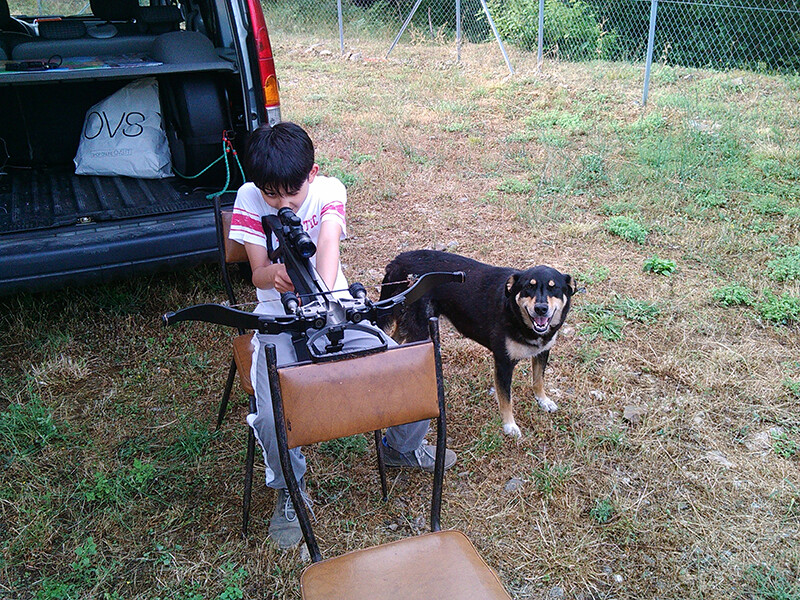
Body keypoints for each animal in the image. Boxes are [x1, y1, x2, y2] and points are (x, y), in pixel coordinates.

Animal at [378, 250, 576, 438]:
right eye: (529, 287)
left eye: (554, 288)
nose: (541, 308)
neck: (515, 313)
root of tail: (397, 261)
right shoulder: (503, 363)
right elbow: (506, 399)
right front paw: (509, 426)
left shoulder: (543, 352)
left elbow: (538, 380)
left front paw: (543, 400)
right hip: (420, 330)